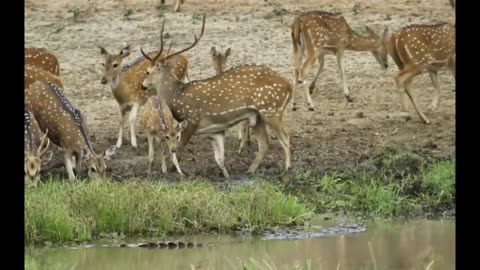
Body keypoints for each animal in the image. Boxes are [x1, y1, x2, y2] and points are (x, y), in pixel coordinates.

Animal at [142, 15, 292, 178]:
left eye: (147, 72)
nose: (143, 86)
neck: (176, 94)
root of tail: (289, 86)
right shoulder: (215, 131)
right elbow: (220, 159)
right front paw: (226, 176)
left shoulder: (192, 120)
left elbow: (178, 150)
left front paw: (174, 172)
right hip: (257, 116)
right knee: (265, 143)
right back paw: (249, 171)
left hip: (271, 110)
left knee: (285, 138)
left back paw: (287, 169)